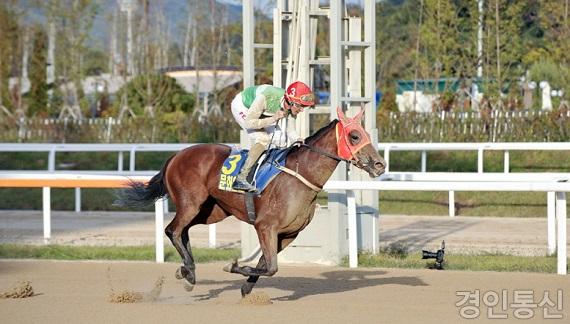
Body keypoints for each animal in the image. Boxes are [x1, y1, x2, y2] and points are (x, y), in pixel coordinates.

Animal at [118, 106, 386, 296]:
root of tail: (176, 155)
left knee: (183, 232)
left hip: (211, 212)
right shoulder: (265, 226)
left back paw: (185, 269)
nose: (379, 164)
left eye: (364, 134)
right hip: (190, 203)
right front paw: (233, 267)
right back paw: (190, 272)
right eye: (354, 135)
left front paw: (246, 287)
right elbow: (271, 266)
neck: (300, 176)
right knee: (172, 230)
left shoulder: (288, 234)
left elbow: (266, 264)